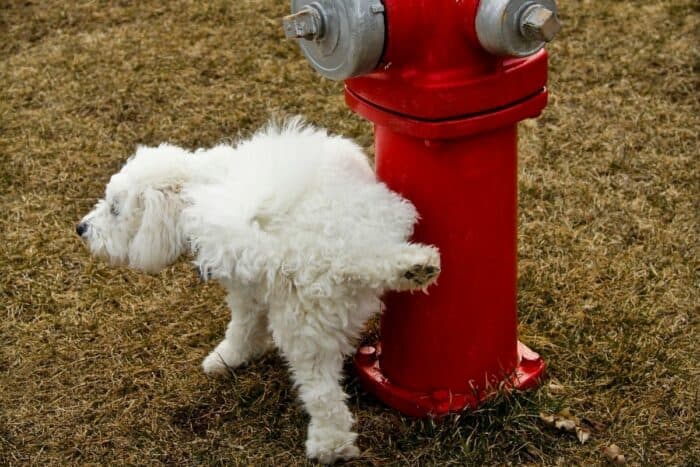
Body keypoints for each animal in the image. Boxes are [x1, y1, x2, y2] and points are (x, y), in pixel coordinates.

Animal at [79, 120, 440, 464]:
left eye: (114, 209)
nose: (80, 228)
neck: (200, 183)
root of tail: (345, 255)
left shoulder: (245, 290)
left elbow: (242, 327)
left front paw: (226, 357)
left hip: (303, 328)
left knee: (322, 393)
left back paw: (329, 445)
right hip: (374, 236)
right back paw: (417, 267)